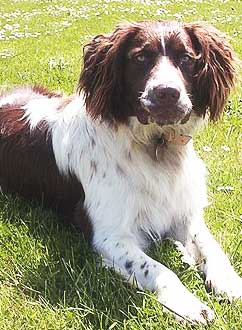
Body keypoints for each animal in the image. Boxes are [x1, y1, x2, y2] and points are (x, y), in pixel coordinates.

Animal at [0, 21, 242, 324]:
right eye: (140, 57)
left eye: (186, 58)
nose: (166, 93)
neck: (155, 146)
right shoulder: (110, 235)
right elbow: (160, 270)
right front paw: (189, 304)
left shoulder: (182, 213)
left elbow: (210, 245)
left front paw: (228, 280)